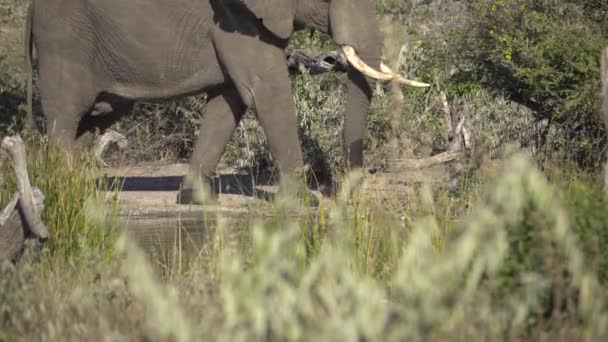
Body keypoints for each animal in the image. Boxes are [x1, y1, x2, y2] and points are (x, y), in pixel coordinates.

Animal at [25, 0, 428, 203]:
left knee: (96, 117)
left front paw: (195, 199)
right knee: (66, 114)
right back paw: (61, 189)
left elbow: (229, 101)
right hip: (64, 39)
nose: (347, 194)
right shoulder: (237, 18)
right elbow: (265, 90)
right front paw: (301, 201)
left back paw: (75, 186)